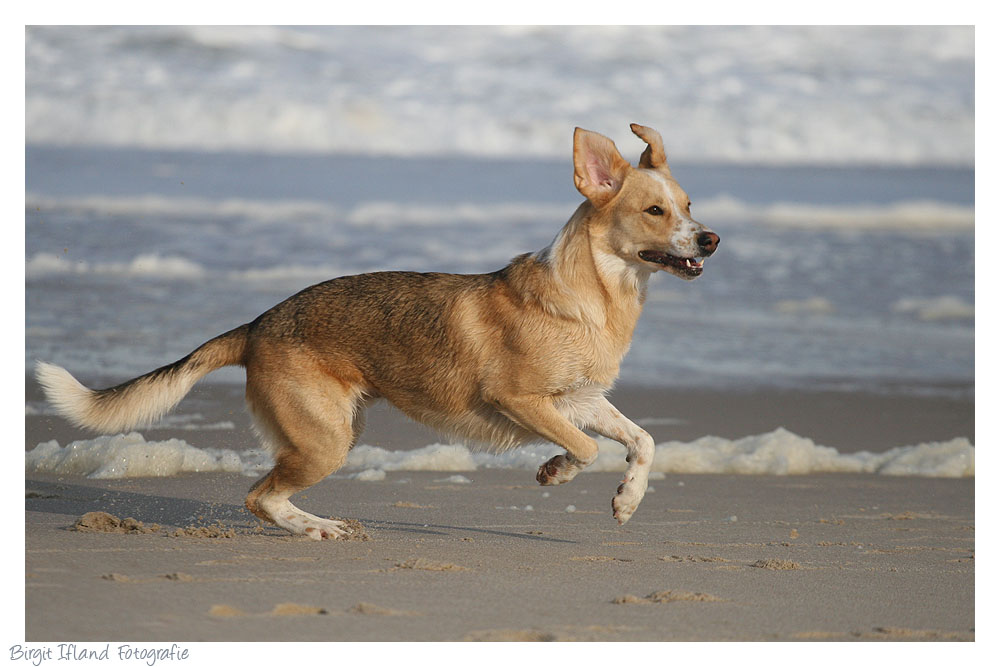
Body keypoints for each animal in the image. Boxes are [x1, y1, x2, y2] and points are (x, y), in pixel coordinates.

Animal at [37, 125, 720, 540]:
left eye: (688, 205)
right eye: (655, 211)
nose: (712, 239)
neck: (594, 297)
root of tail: (256, 325)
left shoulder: (582, 399)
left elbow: (642, 441)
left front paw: (627, 501)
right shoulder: (523, 401)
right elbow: (585, 450)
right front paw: (554, 472)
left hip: (336, 430)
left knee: (264, 494)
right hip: (327, 439)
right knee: (260, 497)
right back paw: (318, 527)